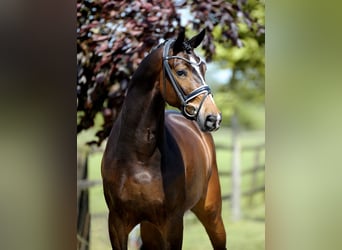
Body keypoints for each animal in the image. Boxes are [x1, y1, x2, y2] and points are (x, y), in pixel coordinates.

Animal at [100, 28, 226, 249]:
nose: (213, 118)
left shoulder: (173, 224)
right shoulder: (116, 223)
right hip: (150, 229)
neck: (139, 156)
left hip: (211, 213)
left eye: (203, 68)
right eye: (181, 71)